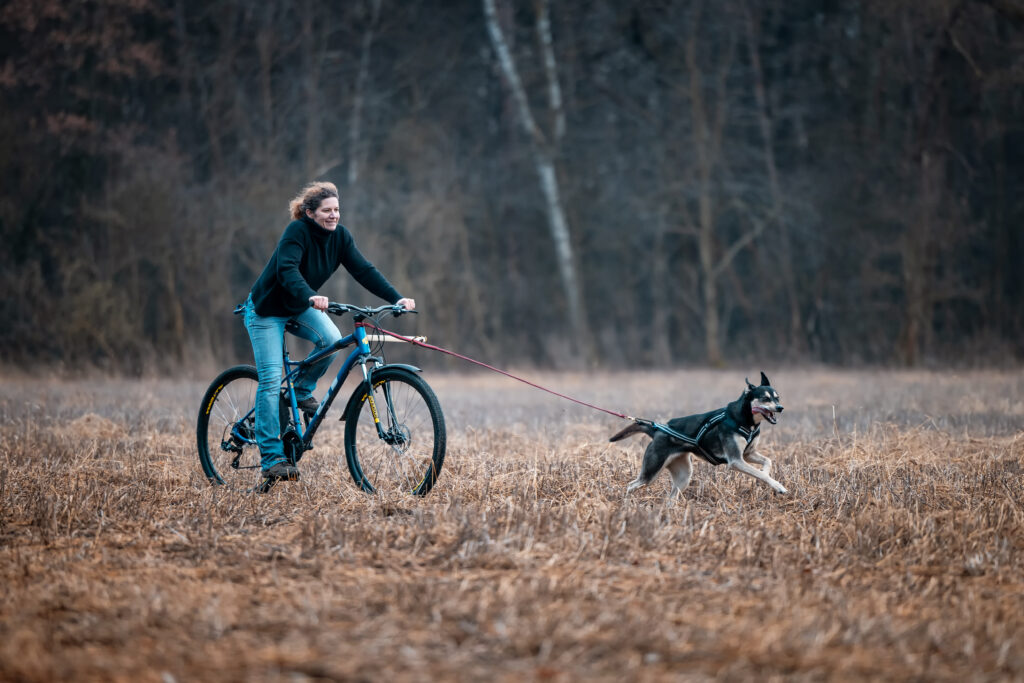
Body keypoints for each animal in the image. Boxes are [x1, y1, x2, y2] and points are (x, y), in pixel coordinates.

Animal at [610, 374, 786, 497]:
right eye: (765, 398)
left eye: (777, 397)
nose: (780, 407)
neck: (744, 420)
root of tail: (658, 430)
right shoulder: (736, 460)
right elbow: (760, 474)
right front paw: (778, 486)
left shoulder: (748, 454)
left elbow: (767, 463)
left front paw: (766, 476)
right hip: (651, 472)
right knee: (631, 485)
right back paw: (628, 504)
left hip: (684, 476)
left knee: (671, 498)